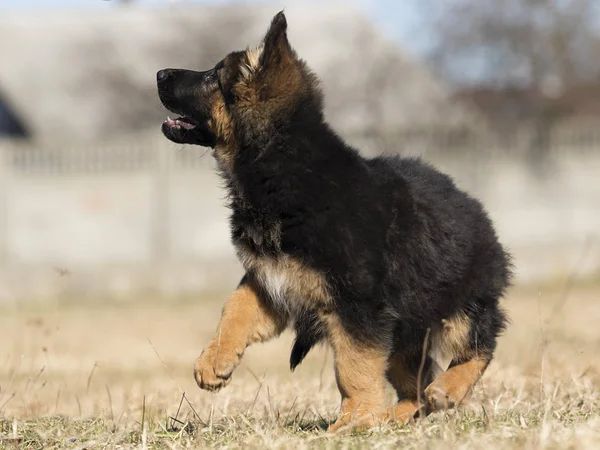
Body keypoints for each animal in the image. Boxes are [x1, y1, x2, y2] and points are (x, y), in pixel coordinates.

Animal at [156, 12, 510, 430]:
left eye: (214, 75)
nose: (160, 72)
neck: (283, 166)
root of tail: (472, 205)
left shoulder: (357, 304)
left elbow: (352, 366)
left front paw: (352, 421)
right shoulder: (271, 282)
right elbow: (235, 308)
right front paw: (214, 361)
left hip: (458, 304)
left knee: (481, 344)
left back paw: (447, 390)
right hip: (404, 330)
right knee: (417, 383)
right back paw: (396, 415)